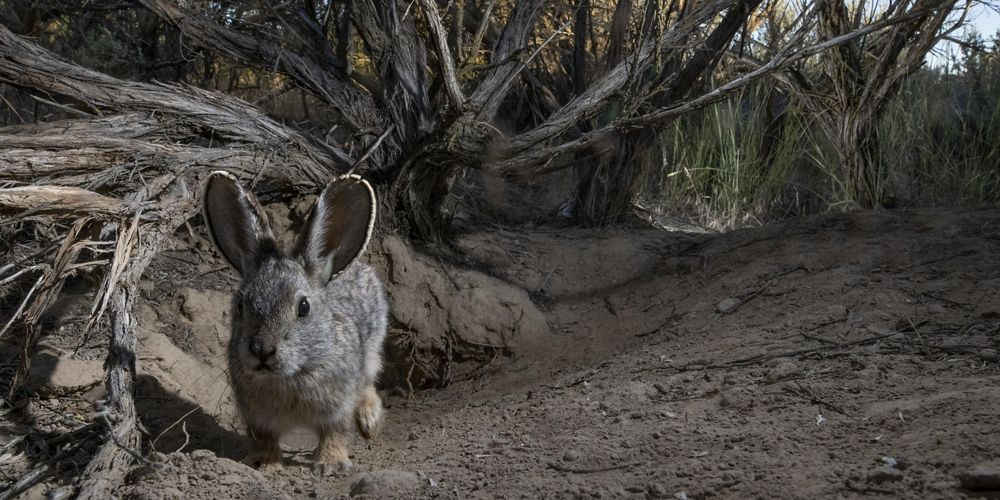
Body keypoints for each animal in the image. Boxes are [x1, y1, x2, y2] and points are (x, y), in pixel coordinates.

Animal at [201, 171, 388, 474]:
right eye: (240, 306)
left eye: (303, 307)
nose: (262, 350)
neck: (291, 374)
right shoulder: (257, 418)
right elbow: (264, 438)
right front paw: (263, 464)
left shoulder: (337, 407)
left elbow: (335, 432)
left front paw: (331, 464)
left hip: (373, 345)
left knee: (370, 381)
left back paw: (368, 422)